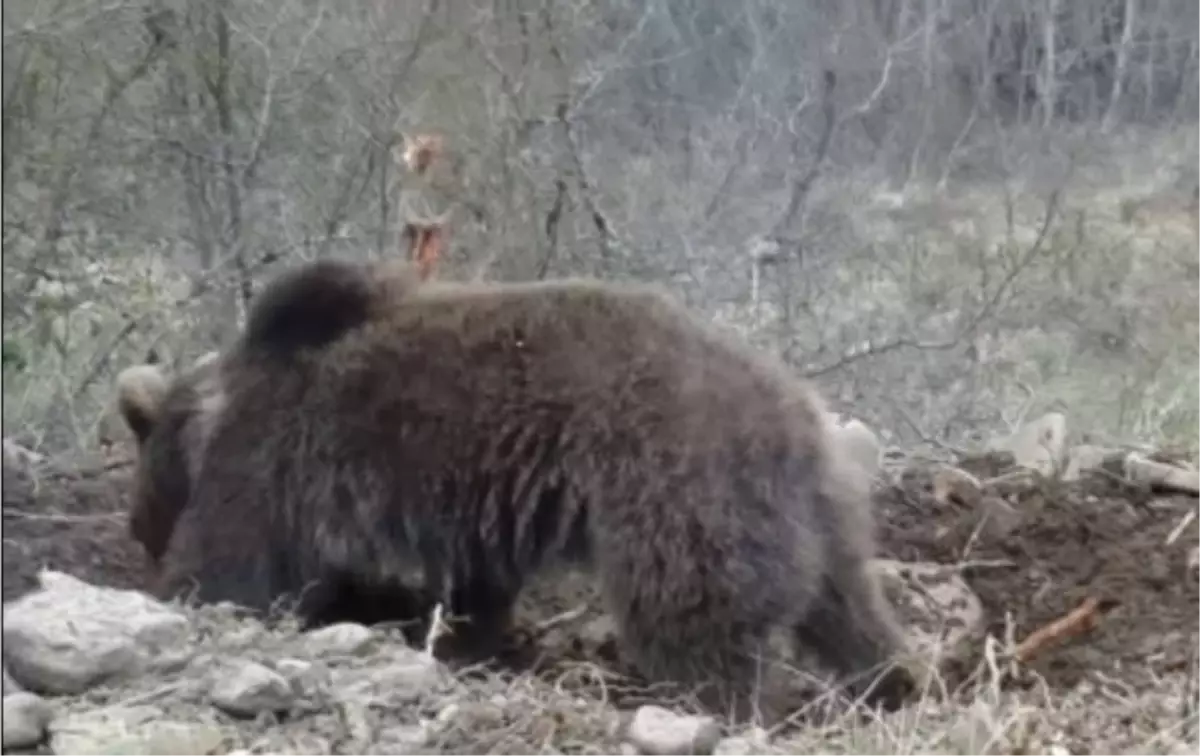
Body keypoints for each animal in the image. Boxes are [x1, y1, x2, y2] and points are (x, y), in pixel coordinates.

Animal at [117, 259, 912, 724]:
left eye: (143, 519)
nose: (140, 538)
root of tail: (793, 410)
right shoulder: (476, 515)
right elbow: (476, 593)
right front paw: (466, 645)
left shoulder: (274, 464)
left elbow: (233, 567)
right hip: (819, 513)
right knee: (847, 608)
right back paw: (890, 683)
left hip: (677, 482)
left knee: (693, 617)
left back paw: (719, 707)